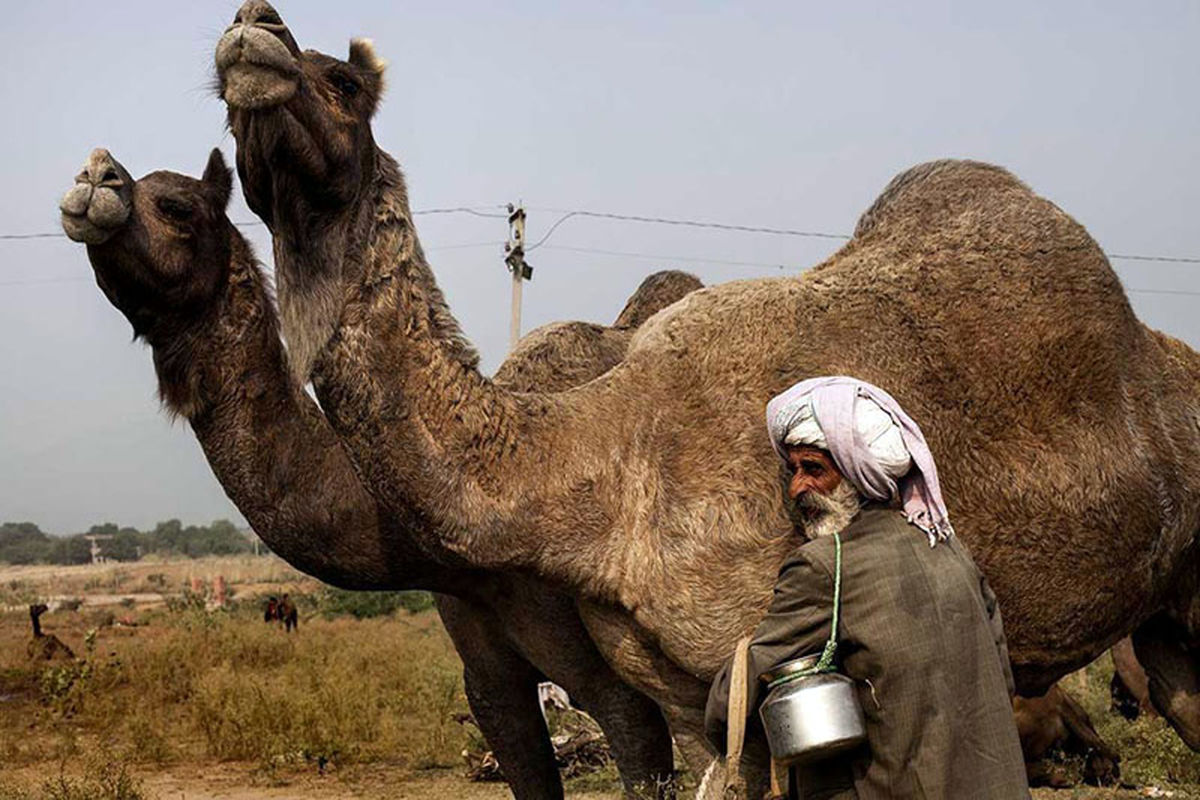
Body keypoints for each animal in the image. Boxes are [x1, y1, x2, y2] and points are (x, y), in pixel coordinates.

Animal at [216, 6, 1200, 791]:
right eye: (224, 103)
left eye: (343, 81)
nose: (253, 26)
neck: (598, 465)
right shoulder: (685, 695)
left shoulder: (757, 636)